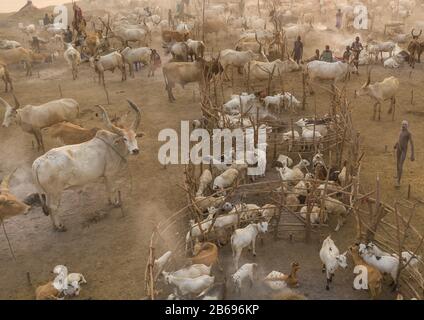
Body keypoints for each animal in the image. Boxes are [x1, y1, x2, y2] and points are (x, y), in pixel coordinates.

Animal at [31, 100, 143, 230]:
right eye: (124, 139)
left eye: (135, 136)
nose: (135, 150)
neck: (113, 145)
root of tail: (38, 162)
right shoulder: (110, 174)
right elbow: (112, 189)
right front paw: (115, 203)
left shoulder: (105, 176)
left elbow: (108, 189)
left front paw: (110, 201)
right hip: (55, 192)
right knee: (53, 207)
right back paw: (60, 226)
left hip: (48, 193)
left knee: (48, 206)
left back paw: (54, 225)